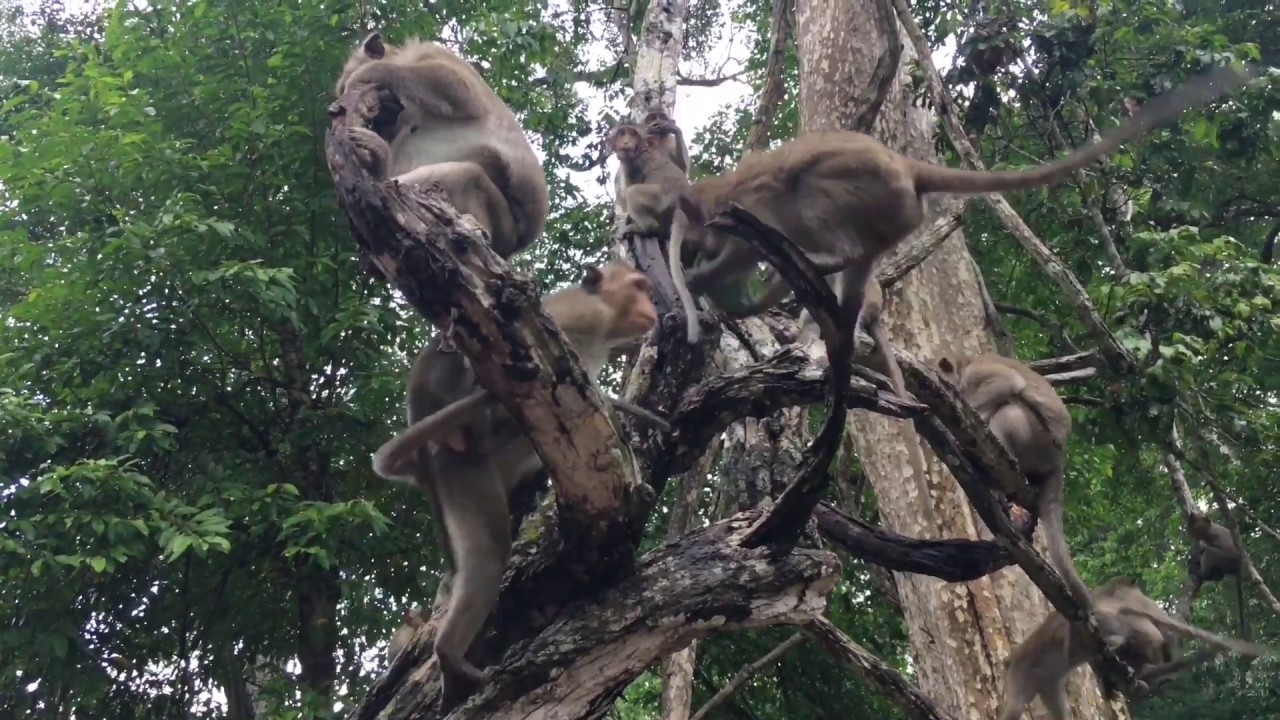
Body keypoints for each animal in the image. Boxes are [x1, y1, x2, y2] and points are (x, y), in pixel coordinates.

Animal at [334, 31, 549, 259]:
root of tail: (516, 245)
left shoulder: (434, 54)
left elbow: (458, 88)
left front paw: (368, 72)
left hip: (503, 224)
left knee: (467, 175)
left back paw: (379, 167)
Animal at [373, 262, 658, 710]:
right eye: (639, 287)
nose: (654, 306)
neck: (604, 320)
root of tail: (433, 461)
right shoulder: (575, 318)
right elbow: (488, 378)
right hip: (465, 474)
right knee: (489, 551)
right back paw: (448, 654)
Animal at [666, 64, 1248, 344]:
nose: (687, 249)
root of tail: (906, 168)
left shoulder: (741, 206)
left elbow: (744, 240)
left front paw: (703, 280)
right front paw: (714, 288)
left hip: (862, 185)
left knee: (814, 195)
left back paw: (820, 263)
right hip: (891, 214)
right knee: (861, 262)